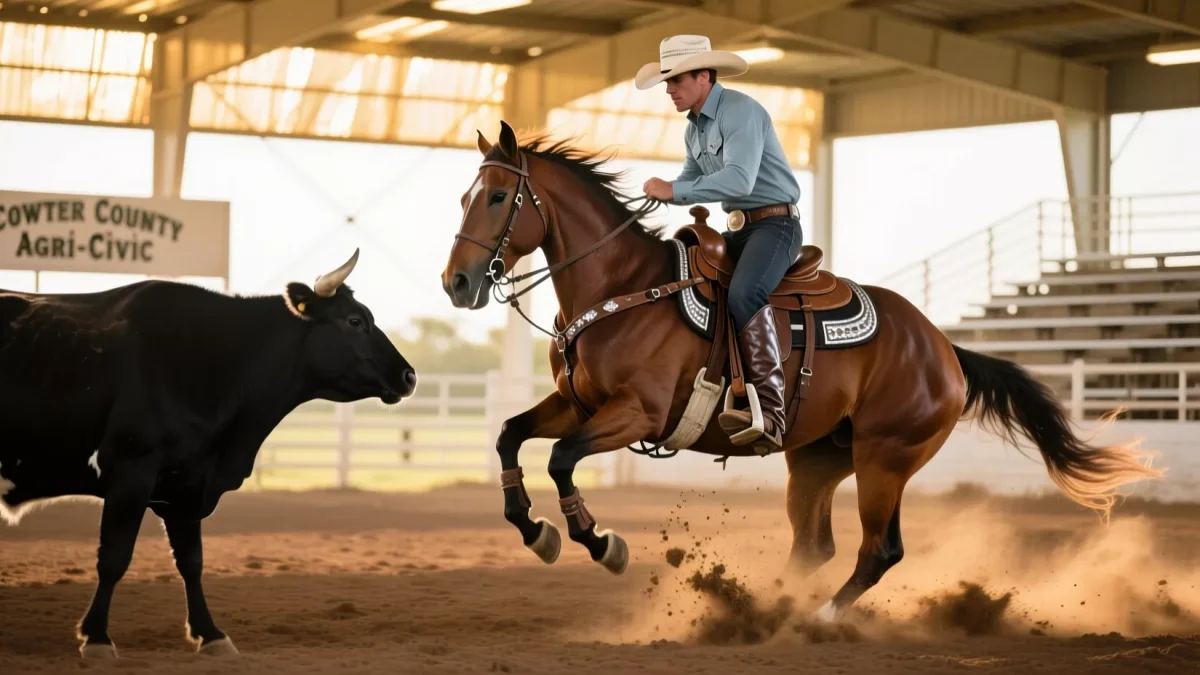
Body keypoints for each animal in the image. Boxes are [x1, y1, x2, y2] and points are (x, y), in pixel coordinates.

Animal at [0, 249, 416, 659]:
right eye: (355, 321)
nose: (409, 376)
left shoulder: (186, 485)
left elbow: (192, 562)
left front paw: (210, 634)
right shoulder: (131, 472)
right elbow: (114, 557)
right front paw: (97, 638)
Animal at [440, 120, 1162, 622]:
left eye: (498, 196)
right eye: (464, 196)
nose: (457, 282)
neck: (623, 288)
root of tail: (944, 348)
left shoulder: (634, 415)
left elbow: (561, 457)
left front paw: (598, 540)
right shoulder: (578, 403)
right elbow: (509, 435)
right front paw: (534, 530)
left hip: (884, 458)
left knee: (879, 550)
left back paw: (813, 618)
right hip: (817, 458)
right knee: (816, 545)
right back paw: (764, 608)